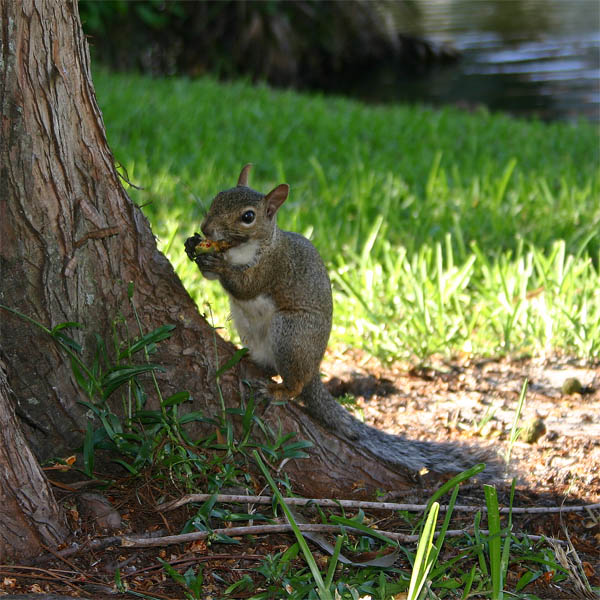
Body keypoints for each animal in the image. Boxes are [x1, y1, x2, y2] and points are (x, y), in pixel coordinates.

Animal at [186, 164, 496, 478]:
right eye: (218, 196)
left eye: (248, 217)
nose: (206, 228)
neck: (242, 248)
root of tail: (314, 367)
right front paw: (193, 247)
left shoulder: (273, 267)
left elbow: (245, 285)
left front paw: (218, 264)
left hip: (291, 333)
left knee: (295, 383)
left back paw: (279, 389)